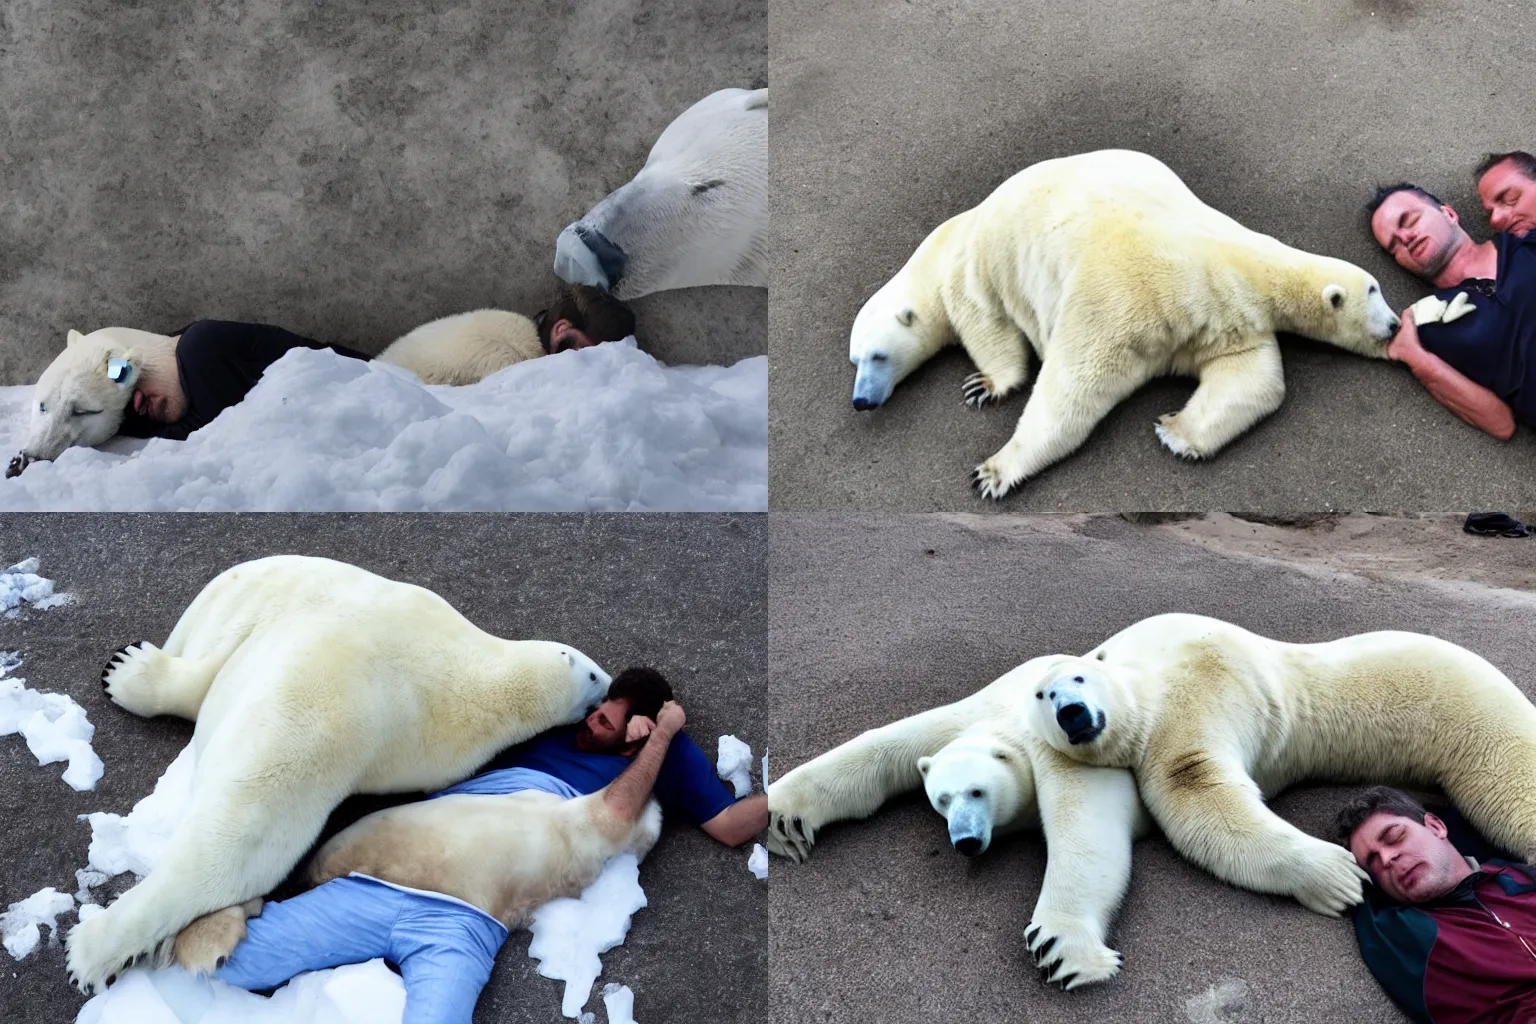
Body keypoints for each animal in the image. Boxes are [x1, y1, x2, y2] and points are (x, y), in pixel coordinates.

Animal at [774, 700, 1148, 988]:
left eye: (977, 792)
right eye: (942, 799)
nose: (966, 841)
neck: (1008, 728)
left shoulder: (1064, 747)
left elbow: (1085, 821)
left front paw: (1061, 948)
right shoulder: (957, 724)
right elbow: (874, 753)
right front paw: (782, 821)